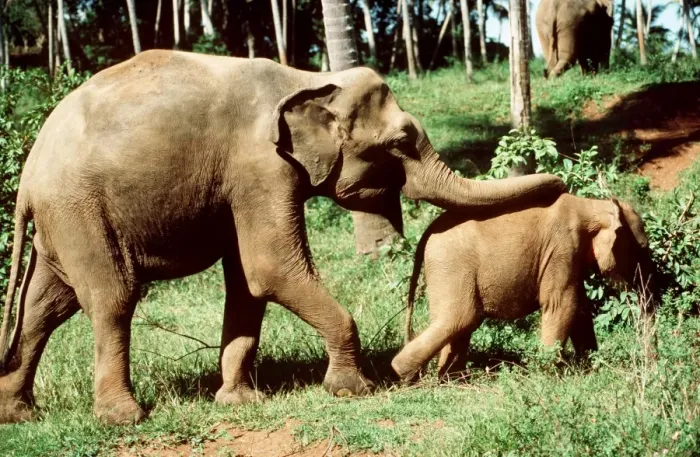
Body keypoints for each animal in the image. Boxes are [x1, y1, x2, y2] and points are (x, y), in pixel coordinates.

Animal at [0, 50, 567, 425]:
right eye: (401, 142)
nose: (562, 183)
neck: (310, 78)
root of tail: (28, 175)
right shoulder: (260, 166)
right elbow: (270, 268)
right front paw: (353, 389)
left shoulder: (243, 182)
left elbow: (247, 284)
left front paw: (238, 402)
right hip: (81, 210)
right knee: (111, 297)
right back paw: (125, 417)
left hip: (63, 222)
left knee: (43, 306)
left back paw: (18, 413)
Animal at [391, 194, 657, 382]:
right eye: (642, 249)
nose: (651, 361)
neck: (592, 205)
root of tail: (426, 233)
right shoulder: (562, 249)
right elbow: (562, 305)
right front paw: (550, 375)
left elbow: (580, 308)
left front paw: (589, 367)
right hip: (451, 265)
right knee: (460, 318)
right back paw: (403, 375)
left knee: (457, 324)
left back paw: (452, 379)